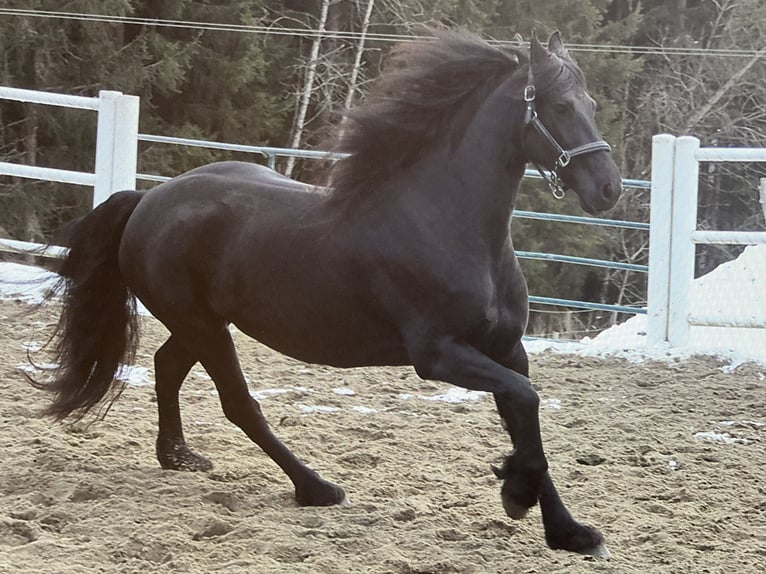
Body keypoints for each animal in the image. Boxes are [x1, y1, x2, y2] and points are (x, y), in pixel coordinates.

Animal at [34, 31, 624, 560]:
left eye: (592, 104)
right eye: (560, 105)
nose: (609, 189)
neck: (446, 223)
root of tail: (147, 200)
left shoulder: (506, 350)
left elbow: (527, 419)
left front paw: (571, 533)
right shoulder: (438, 355)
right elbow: (526, 406)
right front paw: (515, 493)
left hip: (201, 324)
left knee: (166, 367)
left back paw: (178, 457)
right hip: (203, 326)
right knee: (238, 403)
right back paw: (315, 488)